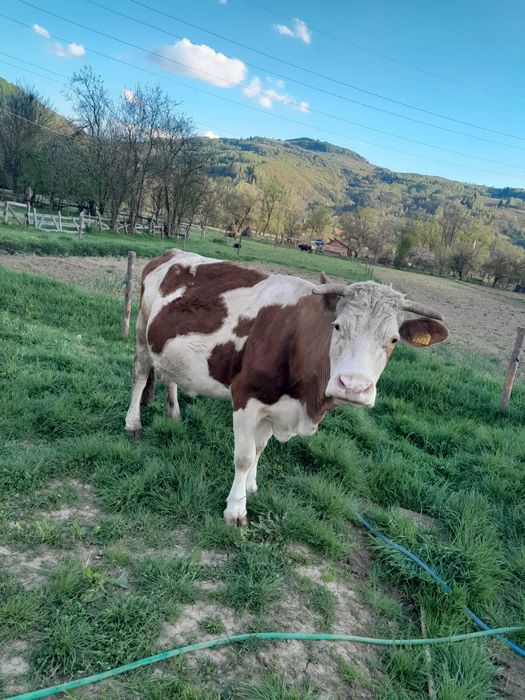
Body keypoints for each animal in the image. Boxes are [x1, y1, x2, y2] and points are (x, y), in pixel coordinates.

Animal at [125, 250, 448, 526]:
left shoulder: (276, 407)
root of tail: (172, 253)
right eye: (338, 326)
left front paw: (251, 486)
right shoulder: (245, 397)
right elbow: (243, 457)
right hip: (141, 329)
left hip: (167, 347)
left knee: (169, 376)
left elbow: (259, 449)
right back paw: (133, 423)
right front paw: (236, 510)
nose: (353, 386)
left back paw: (174, 414)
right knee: (140, 374)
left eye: (393, 339)